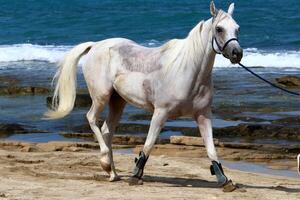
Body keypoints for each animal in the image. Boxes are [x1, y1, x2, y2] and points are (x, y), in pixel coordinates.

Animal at [45, 1, 243, 191]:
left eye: (237, 28)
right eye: (219, 29)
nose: (237, 53)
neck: (188, 71)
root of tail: (95, 45)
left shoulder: (203, 115)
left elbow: (211, 149)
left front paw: (225, 181)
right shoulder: (160, 113)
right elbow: (149, 144)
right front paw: (135, 175)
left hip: (117, 101)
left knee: (107, 130)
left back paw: (112, 173)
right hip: (101, 97)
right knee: (92, 118)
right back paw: (106, 163)